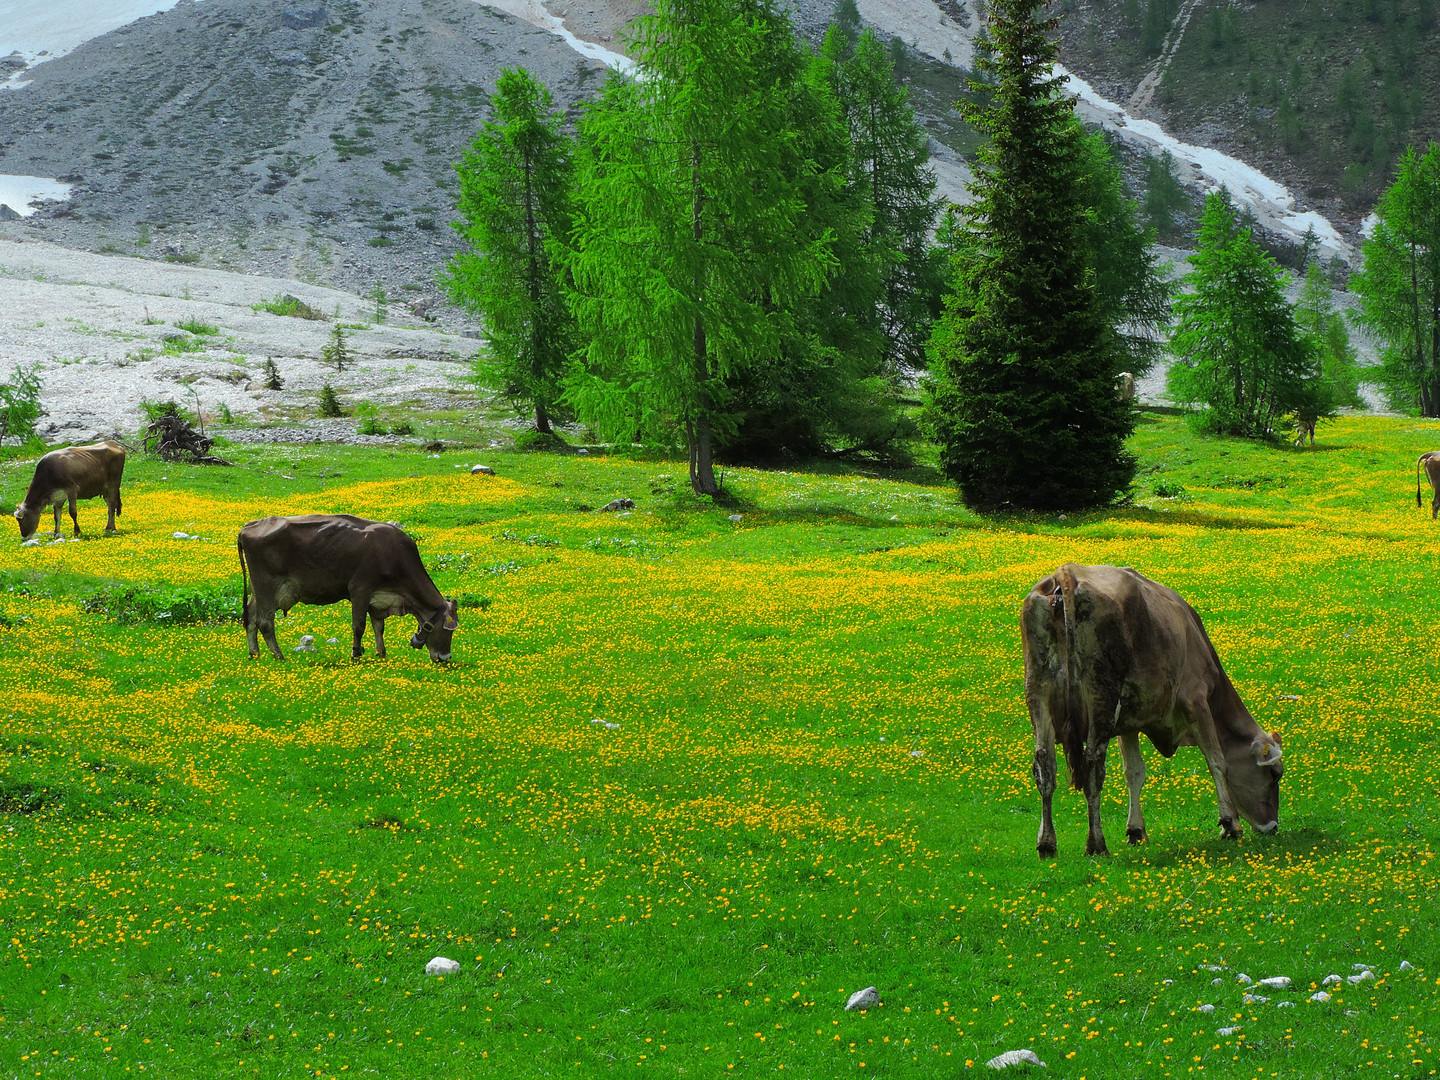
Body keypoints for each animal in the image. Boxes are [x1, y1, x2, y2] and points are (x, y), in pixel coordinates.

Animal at [236, 512, 457, 665]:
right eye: (448, 630)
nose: (445, 658)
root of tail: (248, 526)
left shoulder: (378, 598)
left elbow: (379, 626)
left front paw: (381, 653)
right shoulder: (360, 589)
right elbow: (359, 626)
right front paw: (355, 654)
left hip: (258, 589)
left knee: (251, 619)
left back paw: (255, 654)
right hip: (267, 584)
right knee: (265, 622)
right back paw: (279, 656)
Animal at [1019, 567, 1290, 864]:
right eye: (1274, 774)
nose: (1272, 827)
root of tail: (1067, 573)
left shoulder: (1127, 722)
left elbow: (1134, 772)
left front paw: (1135, 830)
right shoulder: (1196, 701)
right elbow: (1217, 761)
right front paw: (1230, 824)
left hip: (1038, 692)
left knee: (1045, 764)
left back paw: (1047, 843)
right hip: (1101, 696)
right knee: (1092, 765)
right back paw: (1097, 844)